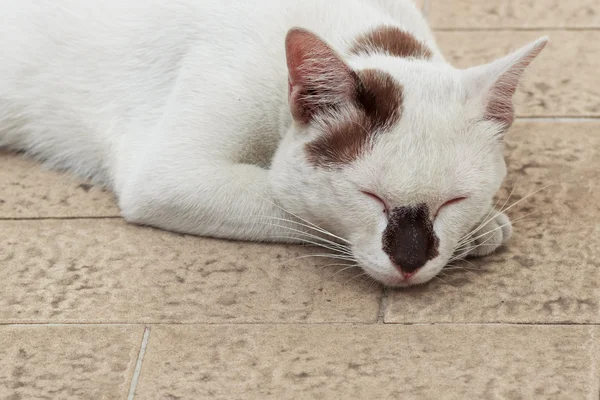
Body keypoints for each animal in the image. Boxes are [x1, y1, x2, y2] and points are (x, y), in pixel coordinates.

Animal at [0, 0, 548, 288]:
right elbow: (289, 198)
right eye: (369, 197)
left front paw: (478, 223)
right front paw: (484, 228)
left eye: (454, 201)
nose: (410, 261)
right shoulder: (169, 172)